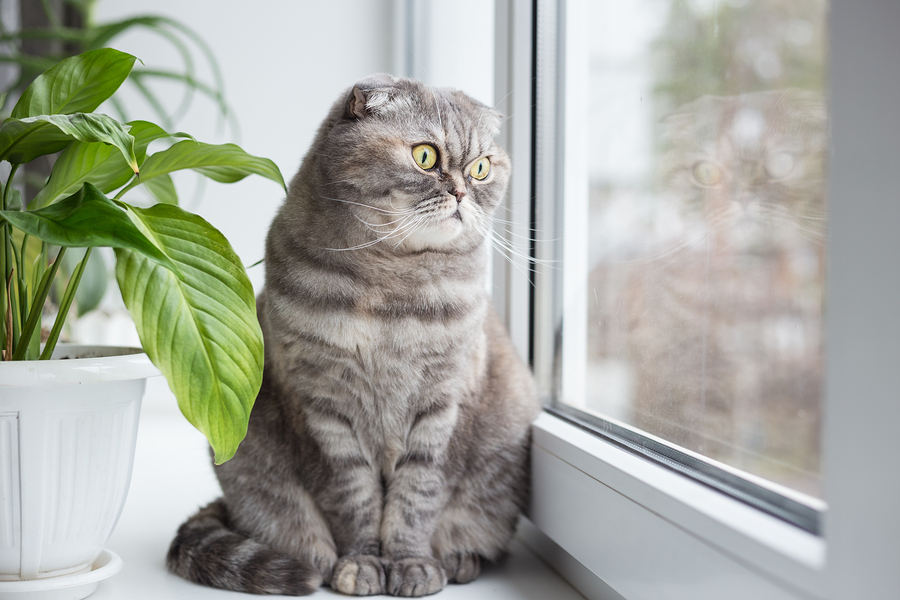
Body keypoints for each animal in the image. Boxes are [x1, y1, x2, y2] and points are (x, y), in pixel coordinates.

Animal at [165, 74, 536, 596]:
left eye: (481, 168)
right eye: (425, 156)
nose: (463, 192)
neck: (392, 285)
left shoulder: (443, 403)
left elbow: (417, 495)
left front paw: (411, 565)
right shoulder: (323, 405)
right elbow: (353, 496)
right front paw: (361, 564)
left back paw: (459, 559)